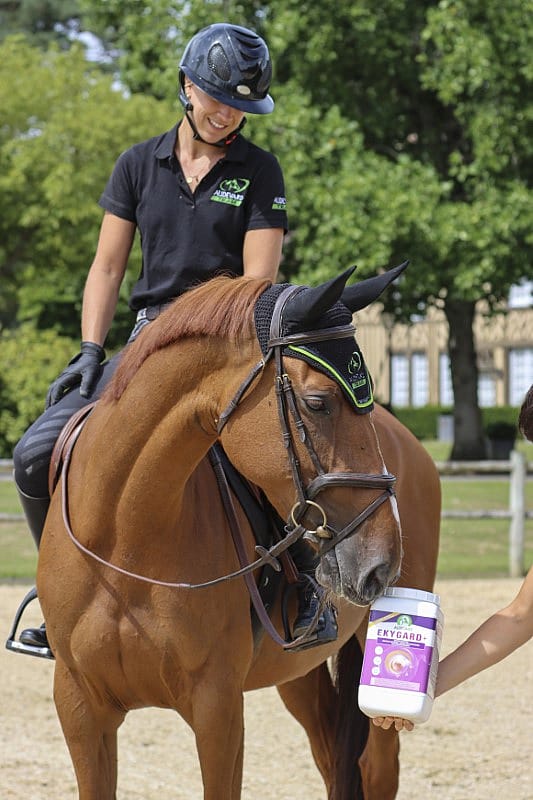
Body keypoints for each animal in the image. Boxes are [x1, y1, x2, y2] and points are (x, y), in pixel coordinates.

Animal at [36, 265, 440, 800]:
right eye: (318, 402)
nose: (382, 561)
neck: (126, 541)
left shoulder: (218, 710)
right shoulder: (81, 708)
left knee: (376, 767)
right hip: (298, 673)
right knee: (332, 758)